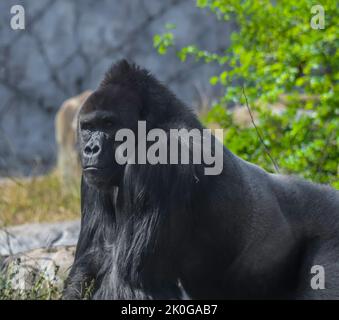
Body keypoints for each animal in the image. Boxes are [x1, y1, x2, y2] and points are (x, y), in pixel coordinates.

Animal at [63, 60, 339, 300]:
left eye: (109, 124)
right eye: (87, 127)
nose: (90, 149)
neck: (152, 124)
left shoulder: (158, 161)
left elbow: (132, 281)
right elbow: (91, 261)